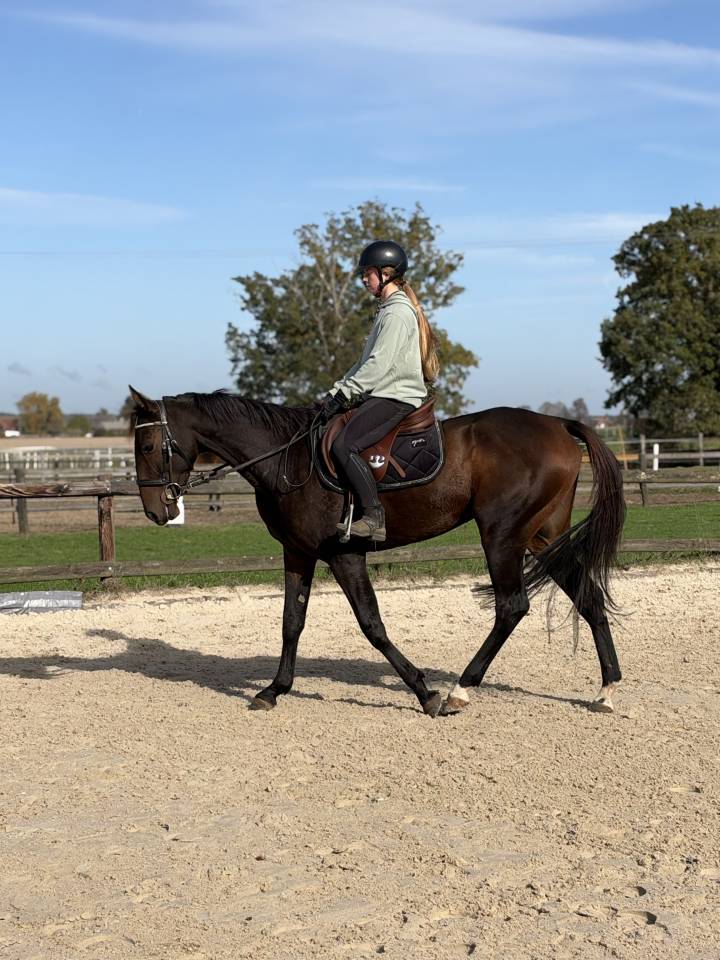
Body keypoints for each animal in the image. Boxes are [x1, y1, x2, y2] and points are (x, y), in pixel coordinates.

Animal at [129, 386, 625, 718]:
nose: (156, 510)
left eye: (149, 445)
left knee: (512, 606)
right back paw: (606, 691)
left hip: (502, 536)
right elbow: (291, 622)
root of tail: (558, 425)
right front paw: (273, 690)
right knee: (587, 598)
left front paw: (424, 692)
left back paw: (459, 690)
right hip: (542, 539)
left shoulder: (344, 555)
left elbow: (372, 624)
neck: (287, 459)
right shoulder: (297, 553)